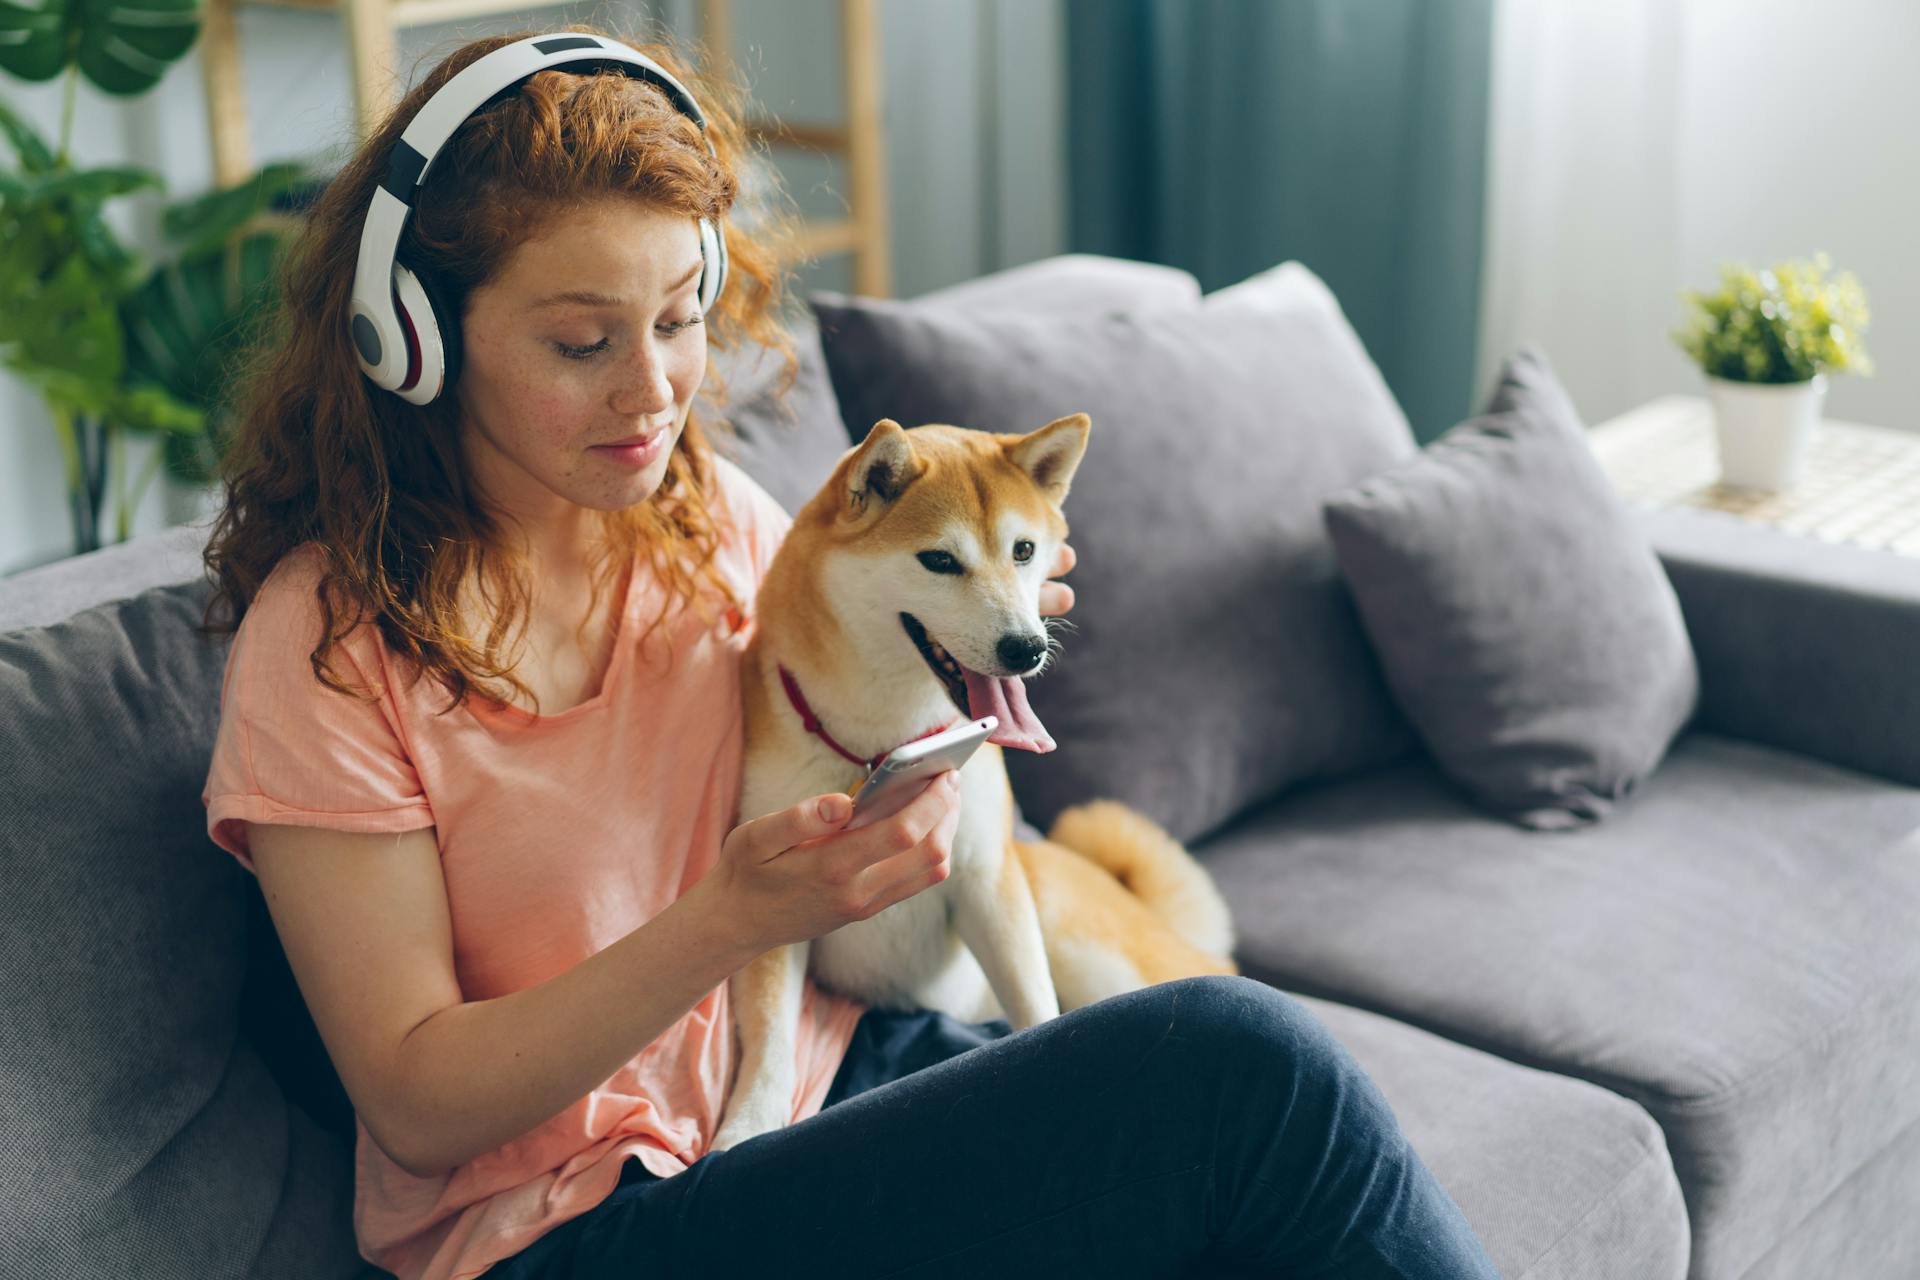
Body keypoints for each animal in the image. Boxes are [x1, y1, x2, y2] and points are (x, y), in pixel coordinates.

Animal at [714, 418, 1236, 1151]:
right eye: (939, 560)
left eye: (1024, 551)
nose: (1026, 648)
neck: (883, 739)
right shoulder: (777, 897)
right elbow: (768, 1045)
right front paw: (744, 1130)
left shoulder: (987, 878)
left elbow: (1036, 1003)